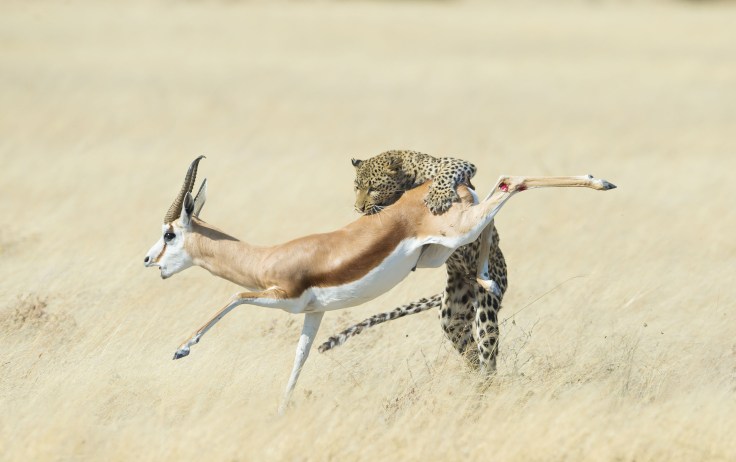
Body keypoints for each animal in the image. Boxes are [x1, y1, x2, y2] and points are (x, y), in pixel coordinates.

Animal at [318, 150, 508, 373]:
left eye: (373, 188)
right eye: (357, 187)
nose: (359, 208)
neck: (406, 180)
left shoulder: (457, 164)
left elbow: (446, 173)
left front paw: (438, 197)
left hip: (487, 299)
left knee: (487, 342)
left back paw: (487, 376)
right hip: (455, 309)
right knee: (461, 335)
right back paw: (473, 375)